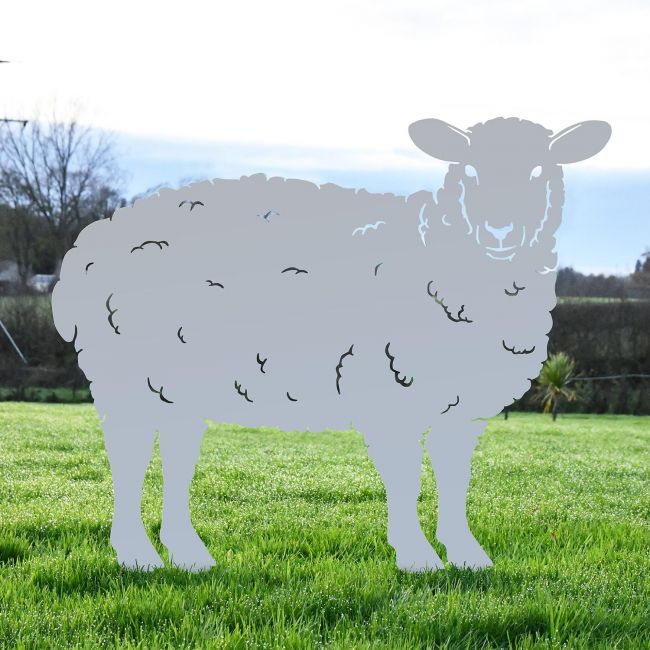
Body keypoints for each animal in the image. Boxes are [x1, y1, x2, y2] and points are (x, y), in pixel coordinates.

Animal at [51, 117, 611, 572]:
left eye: (541, 171)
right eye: (469, 170)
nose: (500, 231)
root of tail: (90, 242)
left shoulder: (462, 407)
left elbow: (455, 480)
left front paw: (467, 557)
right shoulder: (390, 386)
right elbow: (406, 478)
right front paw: (418, 558)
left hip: (172, 384)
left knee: (175, 454)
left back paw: (187, 556)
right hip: (123, 374)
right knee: (128, 459)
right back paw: (137, 556)